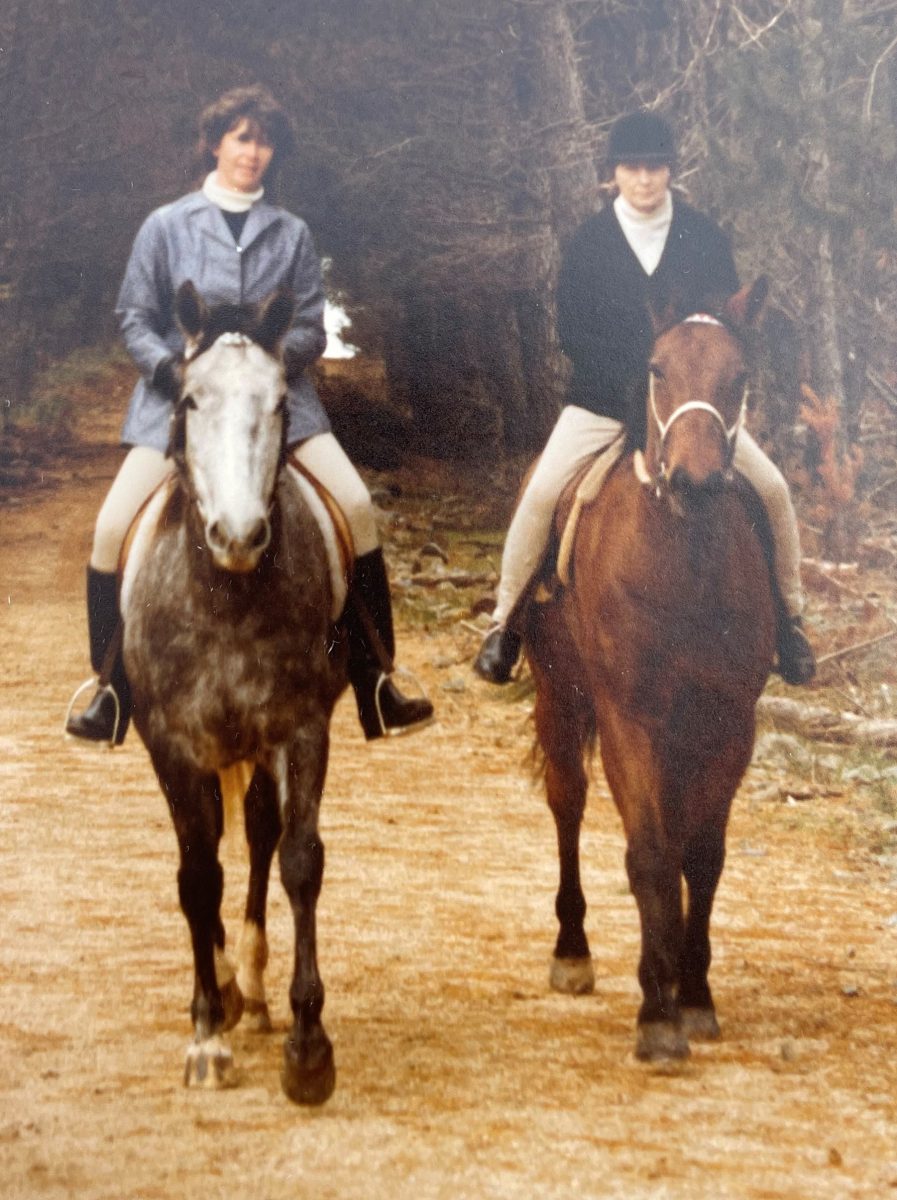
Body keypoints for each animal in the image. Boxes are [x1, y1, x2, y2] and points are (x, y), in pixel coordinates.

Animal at [525, 280, 777, 1060]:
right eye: (657, 368)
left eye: (740, 375)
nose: (694, 479)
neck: (683, 565)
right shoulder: (629, 719)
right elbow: (648, 854)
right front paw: (655, 1012)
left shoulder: (728, 725)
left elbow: (700, 856)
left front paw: (691, 995)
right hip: (559, 696)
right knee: (567, 804)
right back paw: (571, 952)